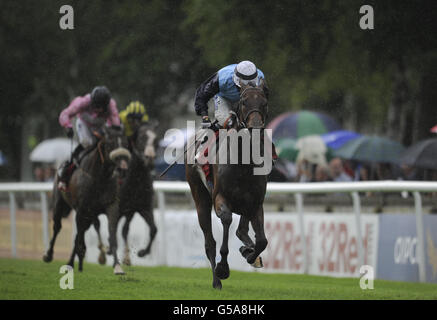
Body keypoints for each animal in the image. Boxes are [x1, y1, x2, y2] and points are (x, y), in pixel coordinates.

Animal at [42, 126, 131, 274]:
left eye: (125, 144)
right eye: (110, 144)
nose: (123, 169)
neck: (99, 178)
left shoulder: (111, 205)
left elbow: (112, 234)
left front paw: (117, 266)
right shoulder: (81, 210)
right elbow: (78, 238)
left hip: (89, 216)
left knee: (80, 233)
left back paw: (77, 263)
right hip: (59, 203)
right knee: (57, 227)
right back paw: (49, 255)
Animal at [185, 81, 270, 288]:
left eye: (264, 103)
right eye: (244, 102)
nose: (256, 128)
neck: (244, 164)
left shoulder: (256, 203)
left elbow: (262, 241)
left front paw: (250, 254)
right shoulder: (220, 198)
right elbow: (226, 221)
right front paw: (223, 268)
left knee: (242, 231)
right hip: (200, 198)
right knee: (209, 243)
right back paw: (216, 281)